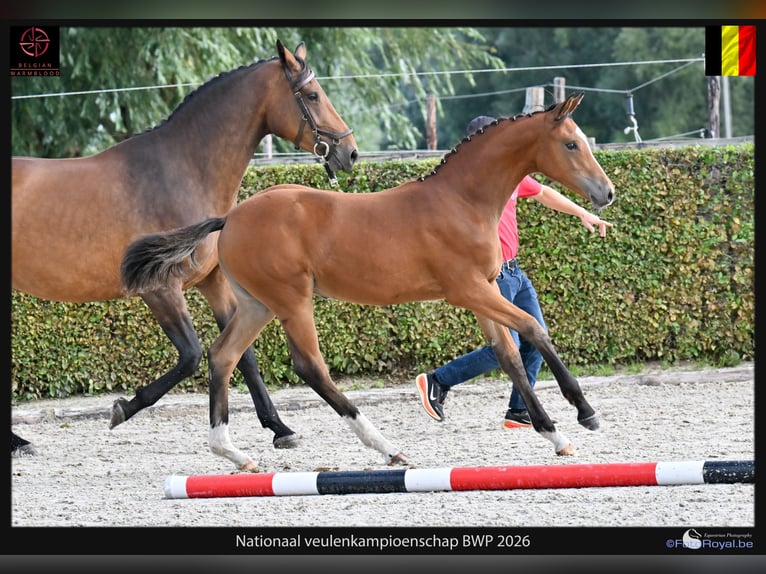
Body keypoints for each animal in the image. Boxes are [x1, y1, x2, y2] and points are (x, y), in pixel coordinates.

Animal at [11, 40, 358, 455]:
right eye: (312, 95)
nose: (350, 152)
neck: (182, 172)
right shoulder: (160, 288)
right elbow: (192, 355)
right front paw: (122, 408)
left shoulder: (214, 282)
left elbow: (243, 356)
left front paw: (280, 427)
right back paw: (17, 441)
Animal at [121, 93, 614, 471]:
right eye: (571, 143)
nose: (606, 194)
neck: (461, 200)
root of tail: (232, 217)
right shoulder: (468, 290)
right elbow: (533, 330)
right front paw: (585, 413)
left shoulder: (485, 292)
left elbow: (508, 356)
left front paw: (555, 435)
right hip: (292, 300)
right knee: (310, 367)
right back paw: (386, 447)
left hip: (257, 304)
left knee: (224, 356)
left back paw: (233, 452)